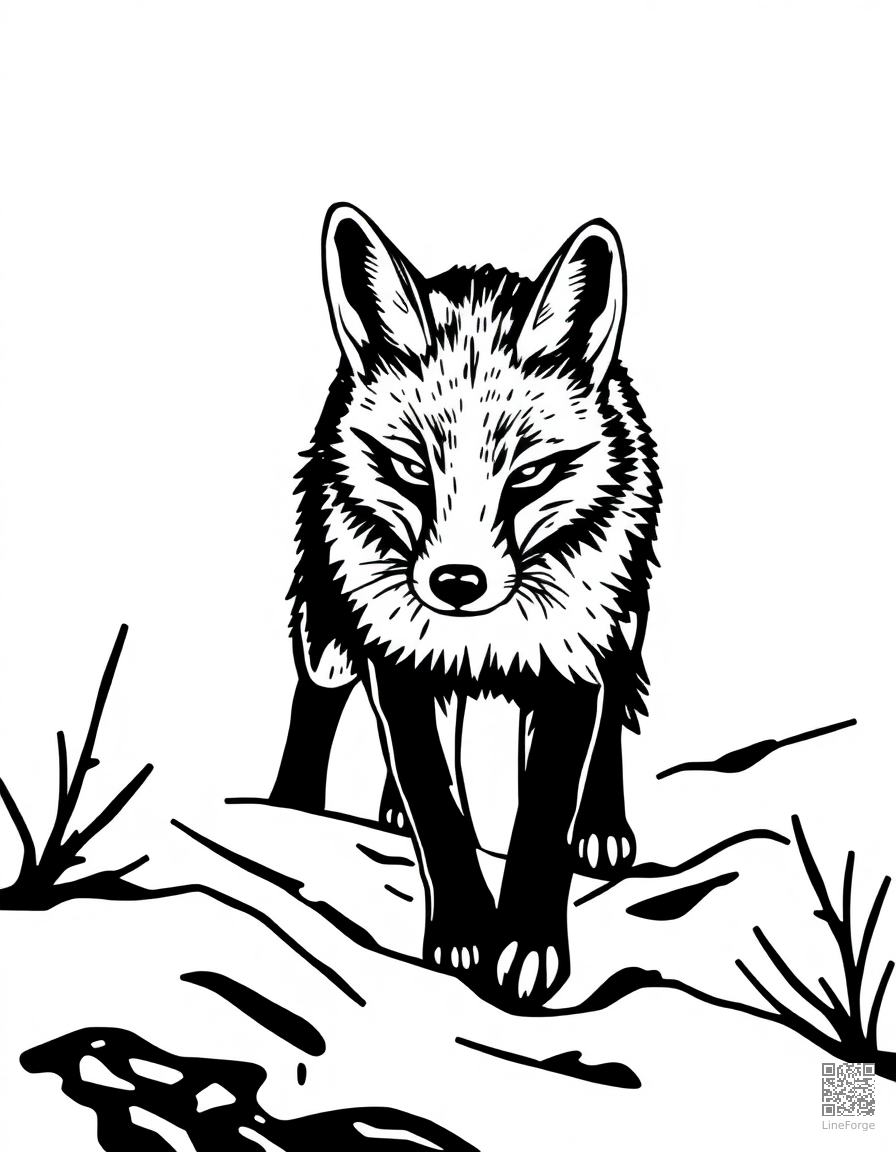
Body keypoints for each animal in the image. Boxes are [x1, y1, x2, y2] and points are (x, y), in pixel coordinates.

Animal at [270, 204, 660, 1008]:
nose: (457, 582)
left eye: (531, 473)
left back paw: (602, 825)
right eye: (410, 466)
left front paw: (528, 945)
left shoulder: (572, 668)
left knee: (611, 716)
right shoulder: (395, 663)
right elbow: (435, 798)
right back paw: (294, 809)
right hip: (333, 637)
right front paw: (462, 933)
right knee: (320, 702)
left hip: (622, 620)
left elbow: (542, 813)